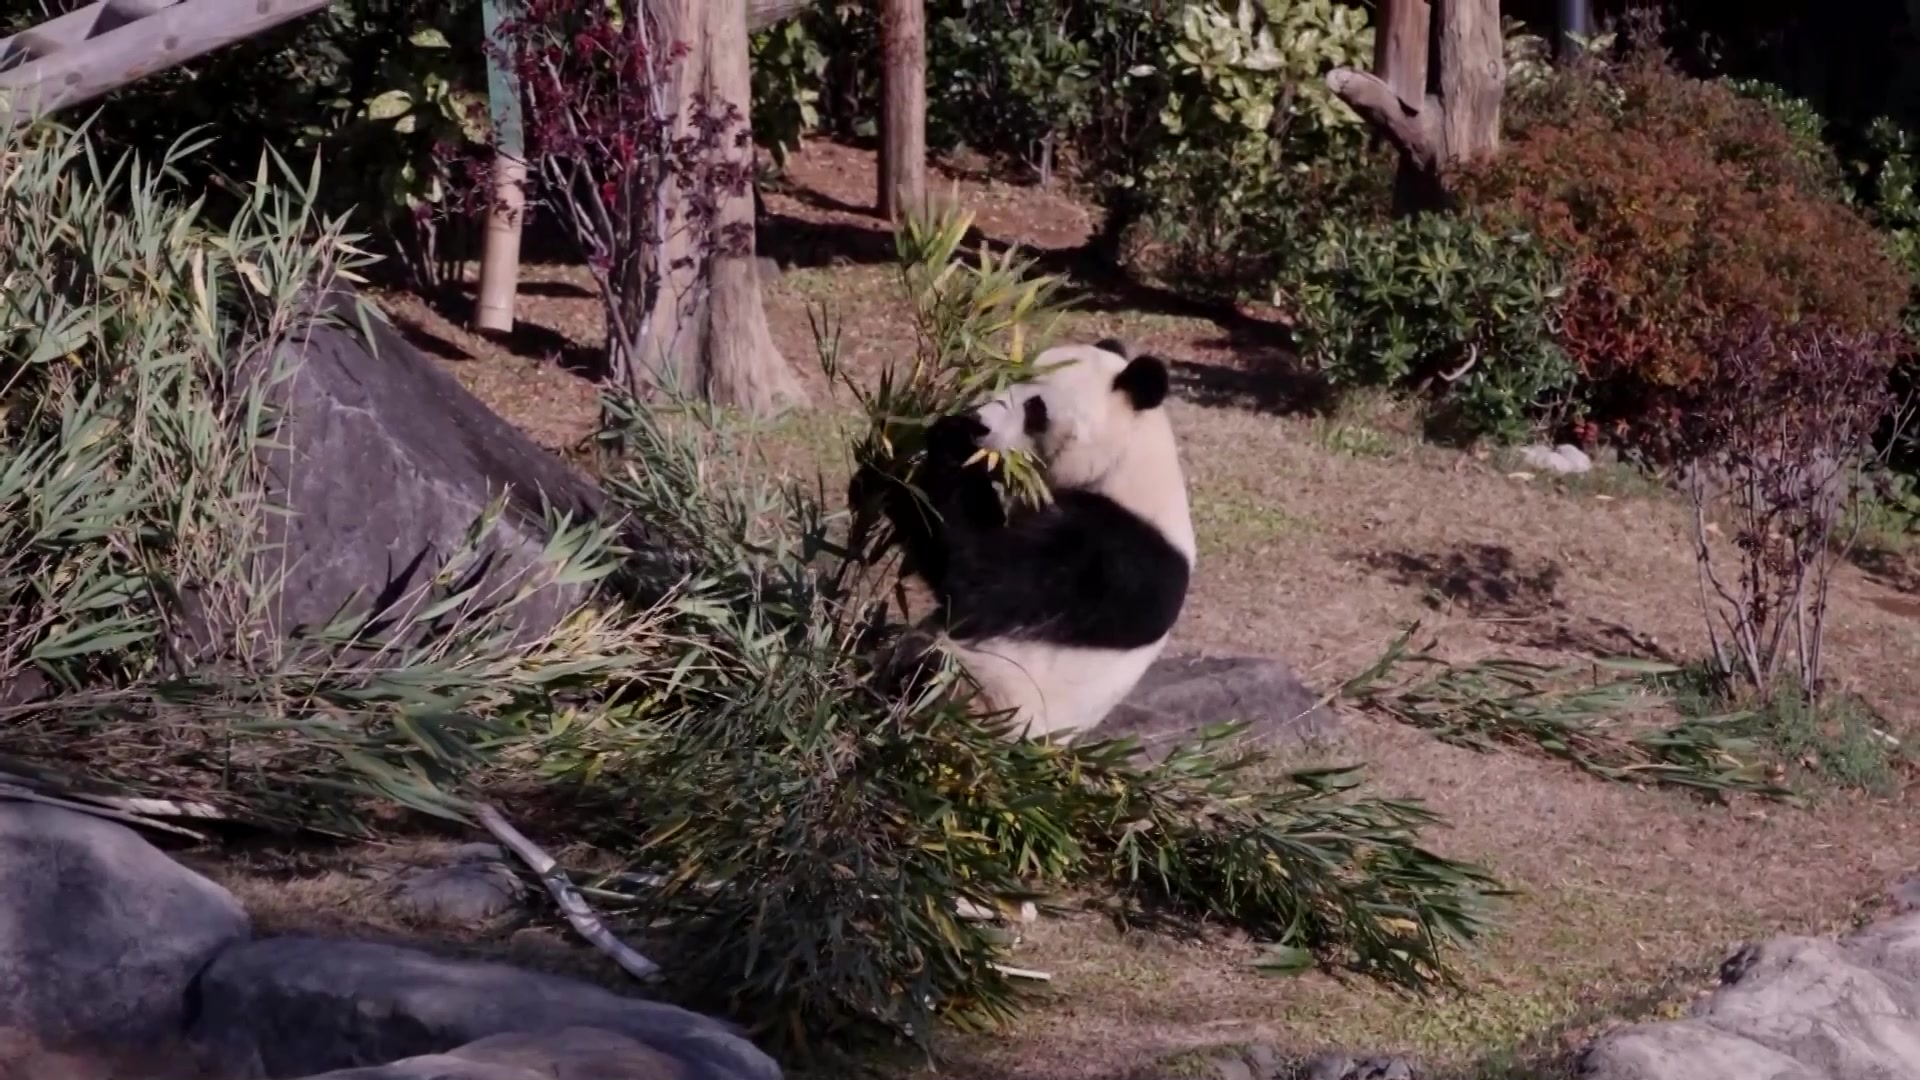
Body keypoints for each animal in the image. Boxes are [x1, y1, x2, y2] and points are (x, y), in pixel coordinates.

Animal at [855, 338, 1196, 740]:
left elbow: (978, 575)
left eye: (1036, 407)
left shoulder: (1113, 557)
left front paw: (952, 436)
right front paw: (881, 466)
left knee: (926, 672)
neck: (1128, 461)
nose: (979, 423)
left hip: (977, 695)